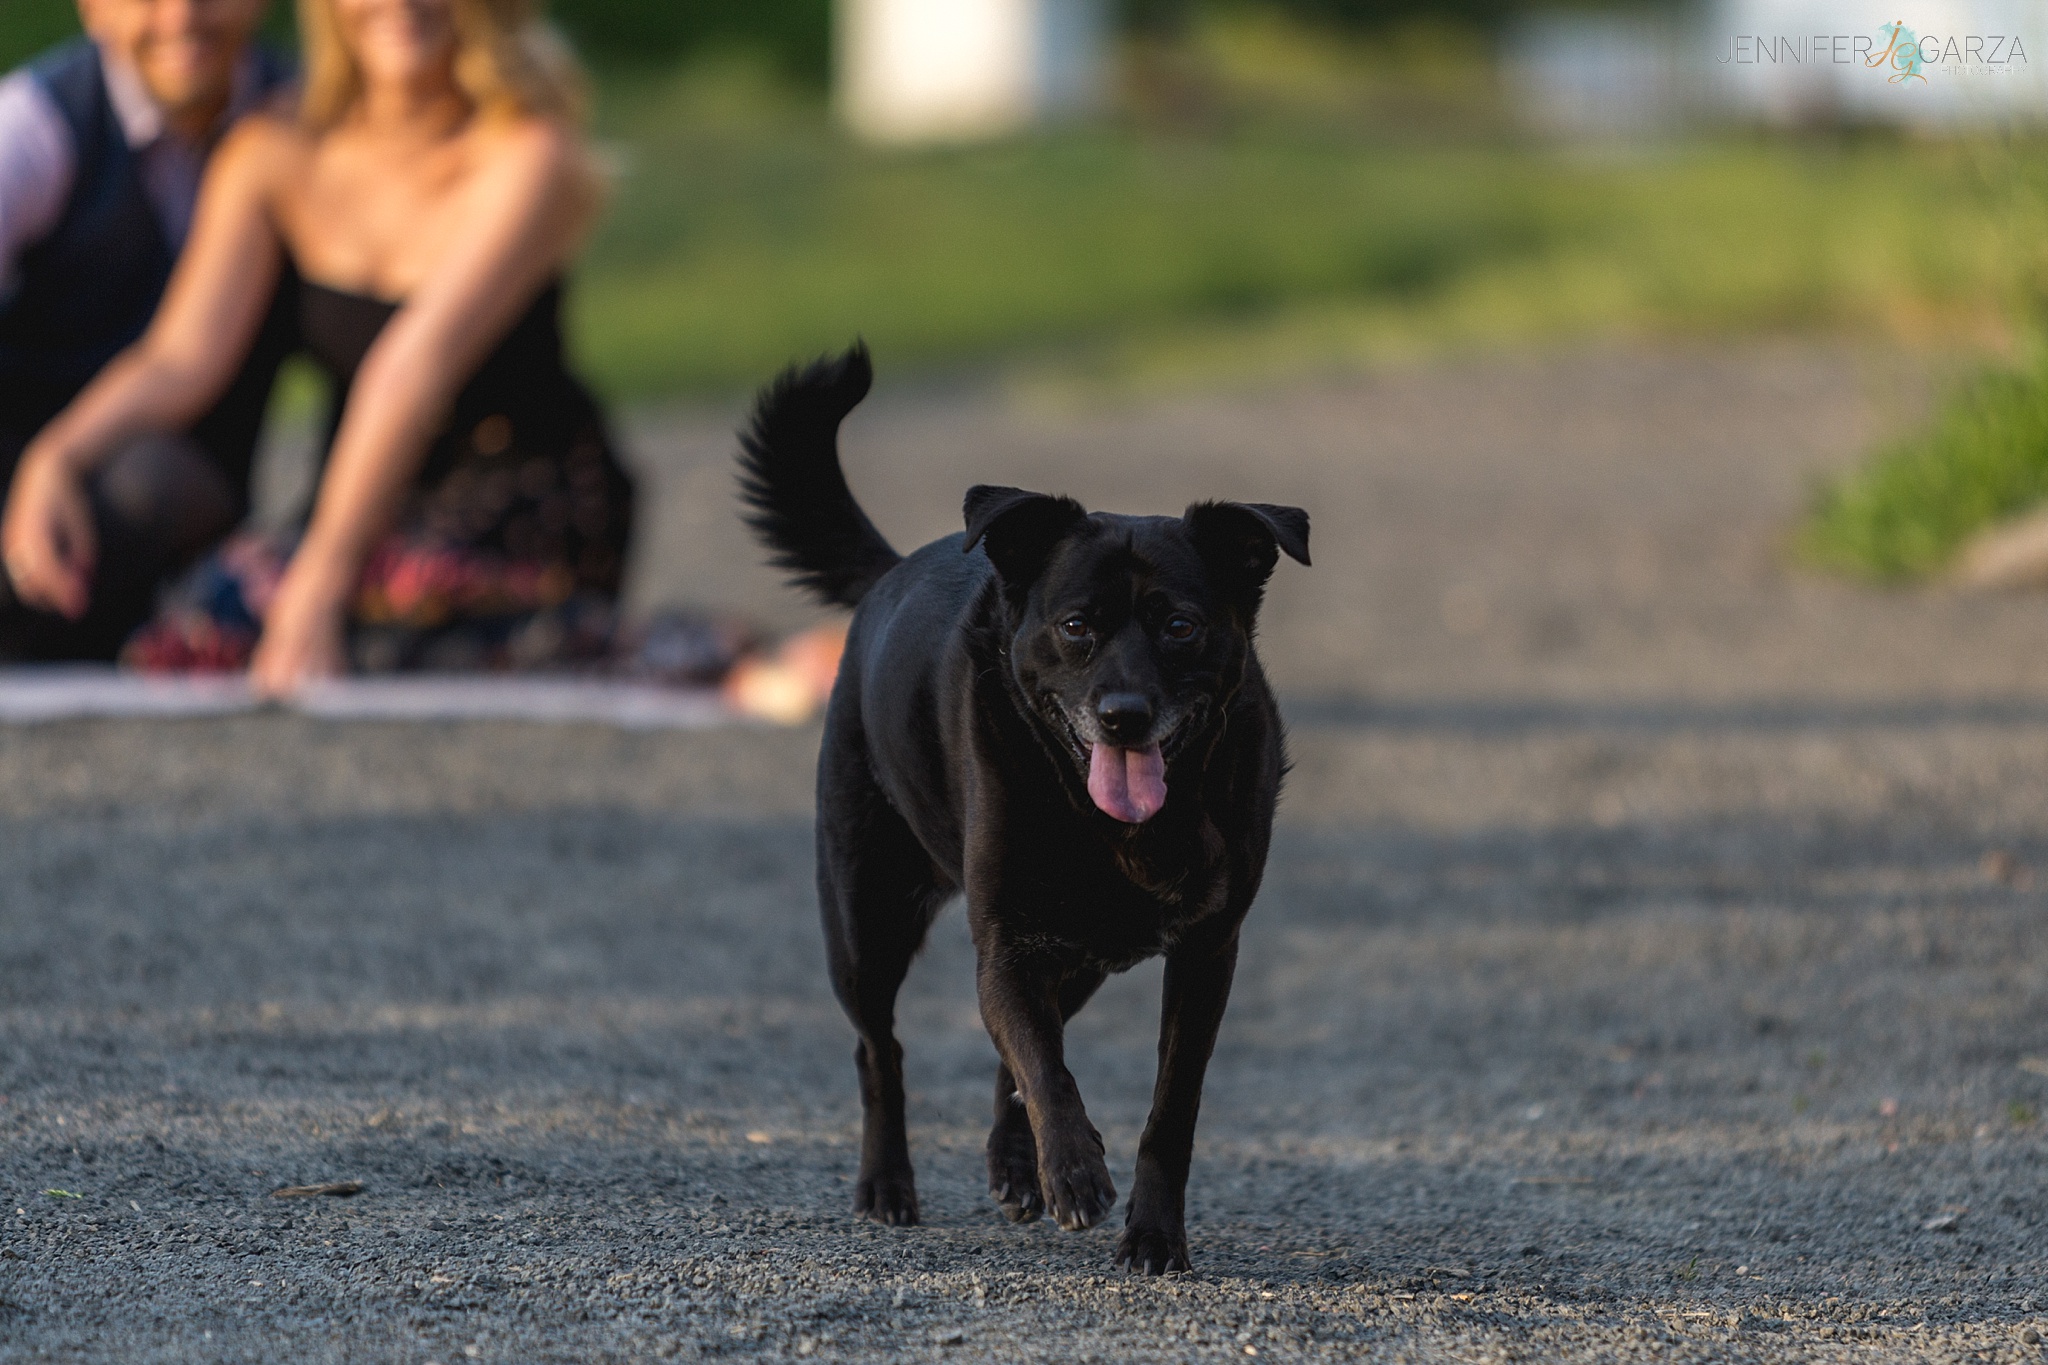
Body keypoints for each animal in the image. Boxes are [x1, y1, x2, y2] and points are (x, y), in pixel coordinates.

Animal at [741, 347, 1310, 1277]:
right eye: (1077, 625)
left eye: (1181, 626)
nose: (1124, 715)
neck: (1119, 829)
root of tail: (892, 571)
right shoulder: (1007, 943)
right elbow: (1044, 1065)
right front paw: (1073, 1171)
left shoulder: (1204, 955)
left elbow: (1164, 1109)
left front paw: (1153, 1233)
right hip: (866, 923)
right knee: (880, 1049)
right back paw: (887, 1183)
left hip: (1083, 956)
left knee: (1003, 1053)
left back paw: (1012, 1163)